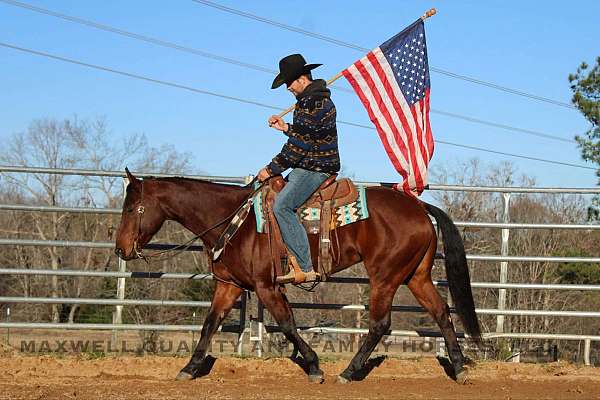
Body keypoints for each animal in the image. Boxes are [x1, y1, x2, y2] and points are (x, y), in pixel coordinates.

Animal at [115, 169, 482, 384]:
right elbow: (210, 325)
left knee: (380, 324)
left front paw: (315, 367)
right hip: (416, 276)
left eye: (132, 208)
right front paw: (189, 368)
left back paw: (348, 372)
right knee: (441, 312)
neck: (232, 220)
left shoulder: (265, 287)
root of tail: (418, 207)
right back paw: (459, 369)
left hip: (385, 277)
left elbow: (288, 324)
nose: (120, 249)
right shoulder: (229, 286)